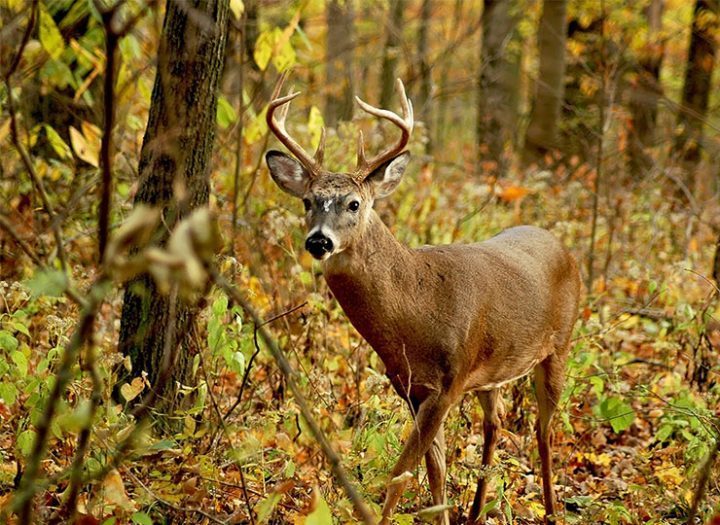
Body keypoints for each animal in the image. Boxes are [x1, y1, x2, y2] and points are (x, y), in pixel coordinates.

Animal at [264, 79, 580, 524]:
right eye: (308, 201)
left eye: (354, 203)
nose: (319, 241)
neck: (416, 312)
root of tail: (564, 248)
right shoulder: (411, 387)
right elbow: (435, 473)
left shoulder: (449, 382)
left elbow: (401, 473)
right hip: (493, 369)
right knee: (497, 423)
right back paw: (476, 512)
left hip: (559, 346)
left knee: (543, 429)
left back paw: (552, 511)